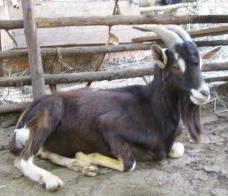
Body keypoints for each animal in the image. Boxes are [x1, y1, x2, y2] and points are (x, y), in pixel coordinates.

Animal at [10, 25, 210, 191]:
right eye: (176, 66)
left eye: (201, 64)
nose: (205, 93)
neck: (151, 109)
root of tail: (23, 118)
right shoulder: (109, 126)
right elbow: (129, 163)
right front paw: (87, 155)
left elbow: (178, 149)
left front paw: (82, 159)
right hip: (50, 112)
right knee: (23, 159)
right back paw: (52, 179)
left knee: (44, 152)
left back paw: (81, 167)